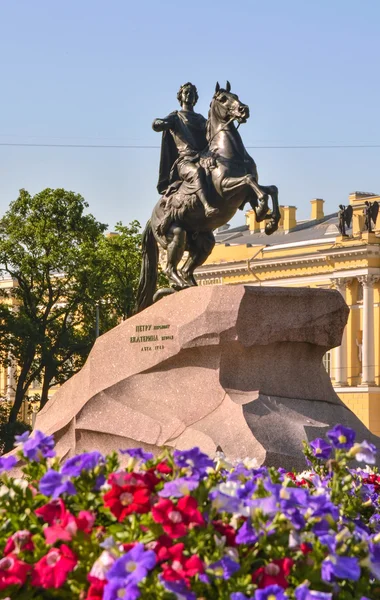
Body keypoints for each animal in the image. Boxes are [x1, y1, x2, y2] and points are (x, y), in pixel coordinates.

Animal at [135, 81, 280, 312]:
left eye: (236, 95)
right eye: (223, 99)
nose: (244, 110)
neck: (228, 153)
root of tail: (151, 218)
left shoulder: (244, 195)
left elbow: (270, 188)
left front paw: (269, 221)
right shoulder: (226, 188)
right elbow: (250, 180)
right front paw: (263, 211)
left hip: (203, 243)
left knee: (186, 269)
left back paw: (189, 285)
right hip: (175, 234)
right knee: (170, 268)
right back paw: (181, 285)